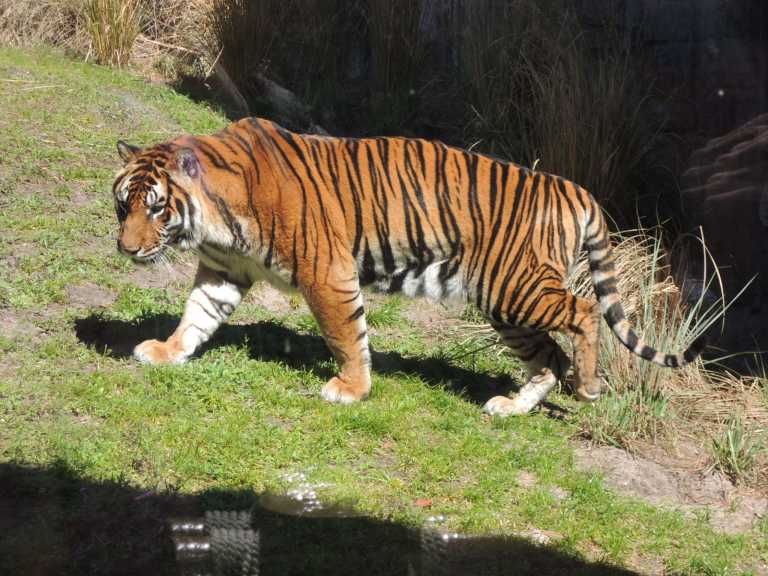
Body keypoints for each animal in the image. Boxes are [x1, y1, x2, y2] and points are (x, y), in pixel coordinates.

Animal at [111, 117, 705, 416]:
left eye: (157, 207)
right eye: (124, 204)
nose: (126, 248)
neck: (213, 217)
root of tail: (571, 186)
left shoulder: (327, 273)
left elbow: (345, 335)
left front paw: (350, 389)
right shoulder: (223, 270)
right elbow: (197, 315)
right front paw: (166, 352)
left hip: (518, 287)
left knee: (583, 311)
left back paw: (588, 388)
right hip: (504, 304)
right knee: (547, 356)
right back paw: (512, 406)